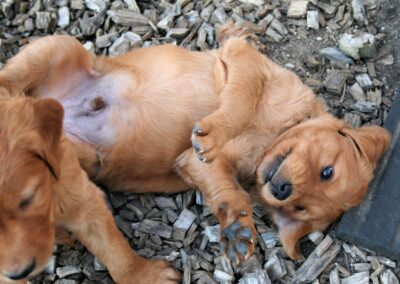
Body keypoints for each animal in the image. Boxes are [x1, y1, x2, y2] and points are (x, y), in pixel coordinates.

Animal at [0, 34, 390, 260]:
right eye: (328, 171)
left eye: (301, 208)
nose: (281, 190)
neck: (273, 131)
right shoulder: (245, 59)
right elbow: (242, 100)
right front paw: (213, 132)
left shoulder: (195, 164)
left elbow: (229, 190)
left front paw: (238, 226)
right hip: (59, 46)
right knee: (9, 79)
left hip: (78, 158)